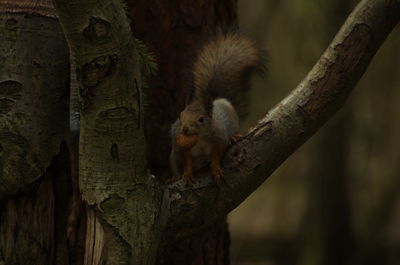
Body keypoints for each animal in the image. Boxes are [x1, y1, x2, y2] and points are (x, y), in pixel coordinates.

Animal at [169, 30, 262, 184]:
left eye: (201, 119)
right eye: (180, 116)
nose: (185, 129)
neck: (200, 138)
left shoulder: (219, 139)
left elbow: (216, 156)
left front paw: (216, 169)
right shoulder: (183, 148)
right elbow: (187, 162)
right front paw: (187, 175)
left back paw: (234, 137)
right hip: (174, 155)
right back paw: (174, 177)